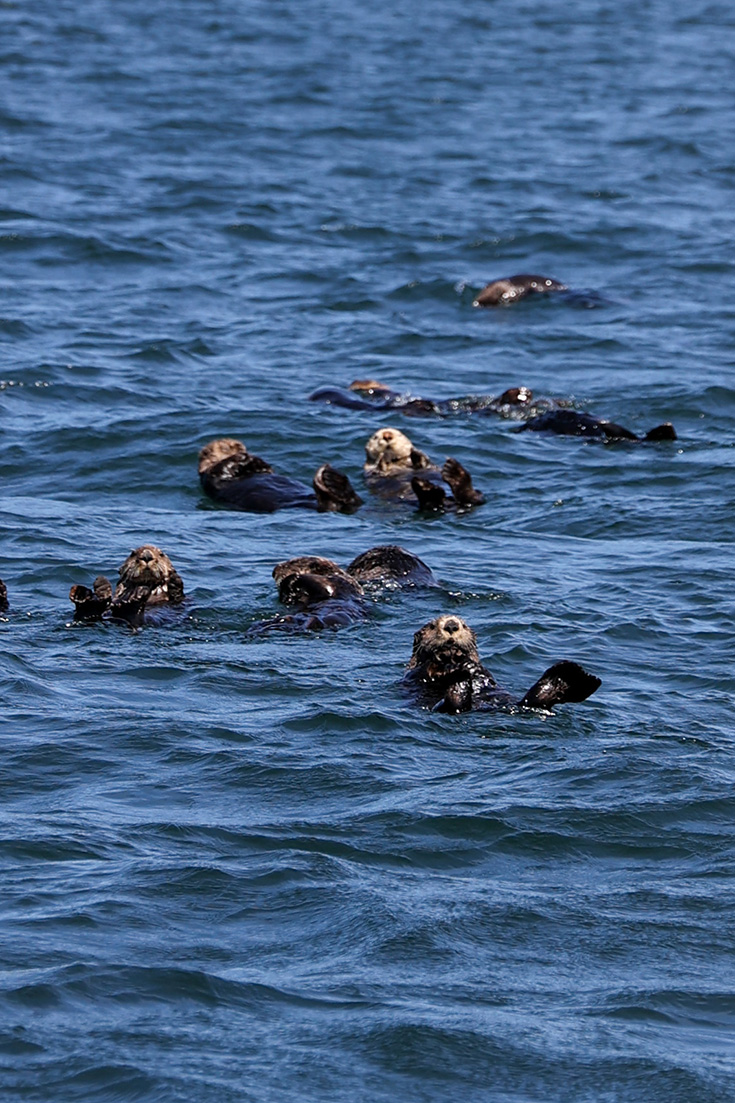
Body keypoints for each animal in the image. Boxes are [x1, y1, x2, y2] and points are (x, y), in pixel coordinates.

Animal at [198, 438, 363, 514]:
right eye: (225, 447)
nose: (242, 449)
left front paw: (258, 461)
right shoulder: (210, 477)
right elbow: (222, 470)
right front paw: (243, 458)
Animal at [405, 614, 601, 714]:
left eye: (464, 625)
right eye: (432, 626)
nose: (452, 625)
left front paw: (469, 664)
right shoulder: (418, 672)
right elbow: (428, 669)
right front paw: (448, 658)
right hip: (442, 706)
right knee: (453, 705)